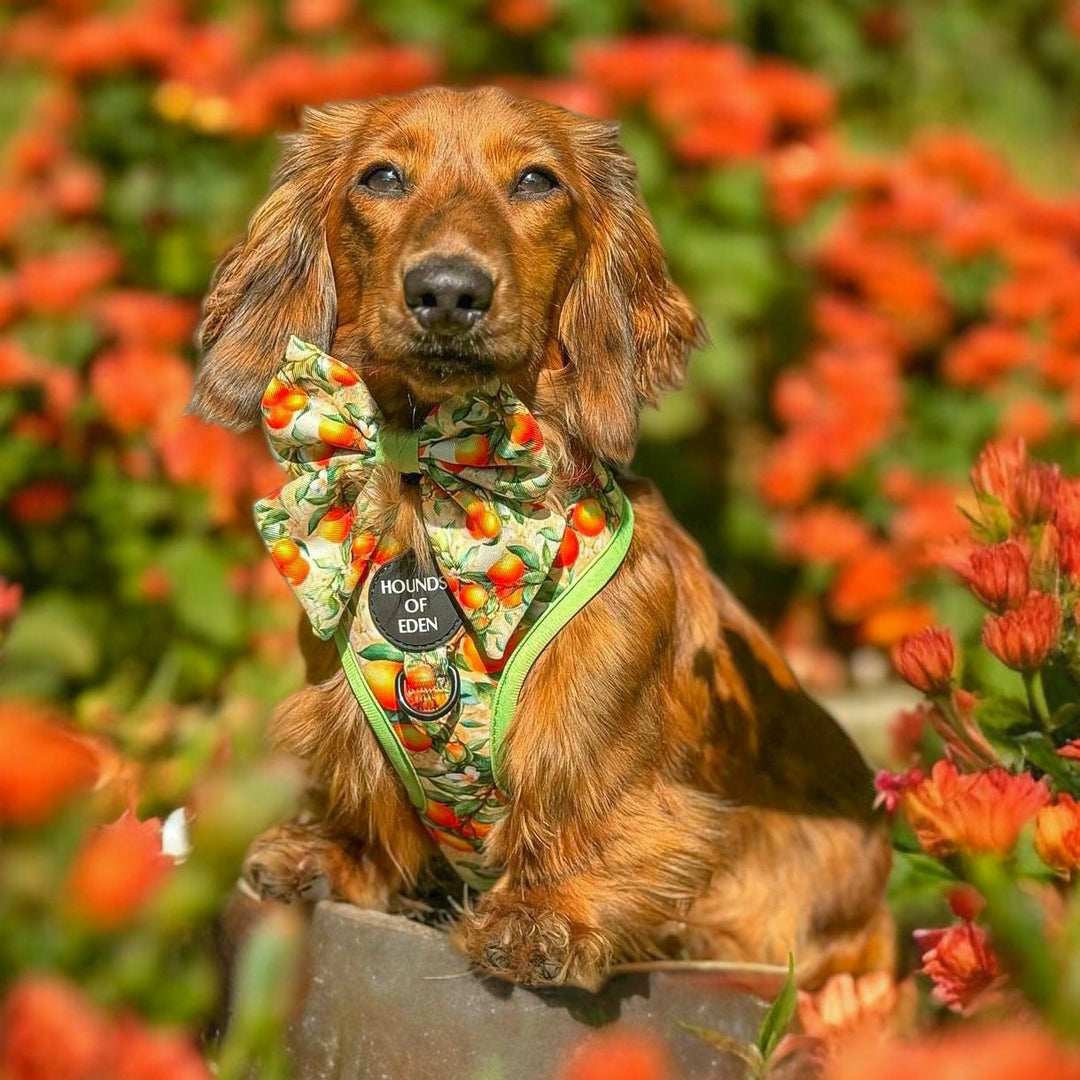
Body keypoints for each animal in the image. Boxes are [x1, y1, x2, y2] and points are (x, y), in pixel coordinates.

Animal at [187, 88, 894, 989]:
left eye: (535, 180)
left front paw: (544, 915)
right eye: (381, 176)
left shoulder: (593, 737)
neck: (437, 493)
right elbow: (369, 810)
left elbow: (588, 815)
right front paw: (333, 855)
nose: (447, 292)